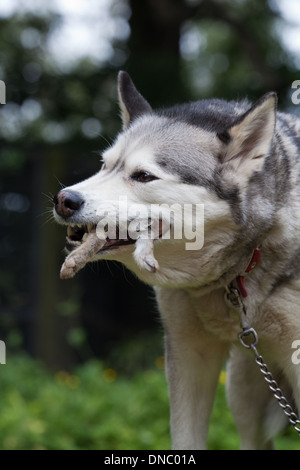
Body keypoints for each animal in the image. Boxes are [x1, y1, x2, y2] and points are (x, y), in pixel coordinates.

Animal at [53, 71, 300, 450]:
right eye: (104, 166)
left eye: (143, 176)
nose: (64, 199)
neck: (236, 272)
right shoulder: (188, 355)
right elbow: (185, 438)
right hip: (245, 396)